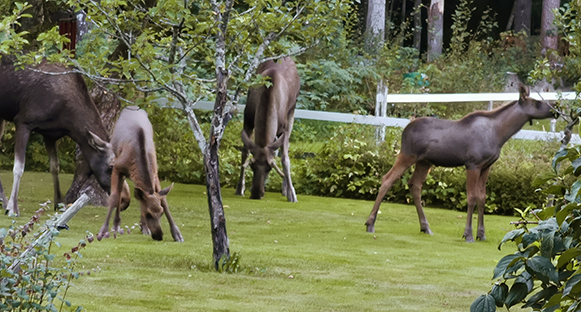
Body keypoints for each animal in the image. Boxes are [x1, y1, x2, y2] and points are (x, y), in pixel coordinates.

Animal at [0, 61, 114, 217]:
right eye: (111, 166)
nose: (125, 198)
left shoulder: (50, 134)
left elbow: (55, 167)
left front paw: (59, 203)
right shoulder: (23, 121)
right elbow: (19, 167)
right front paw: (12, 208)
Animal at [97, 106, 184, 243]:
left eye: (161, 212)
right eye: (148, 214)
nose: (159, 236)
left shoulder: (156, 173)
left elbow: (163, 199)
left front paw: (177, 234)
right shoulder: (117, 168)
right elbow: (114, 197)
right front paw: (103, 231)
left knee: (139, 195)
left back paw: (144, 228)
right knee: (121, 193)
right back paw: (116, 225)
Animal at [234, 57, 300, 202]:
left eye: (269, 168)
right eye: (252, 166)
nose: (256, 193)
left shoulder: (284, 128)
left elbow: (285, 159)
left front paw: (292, 193)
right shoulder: (247, 119)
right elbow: (244, 153)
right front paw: (240, 188)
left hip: (292, 111)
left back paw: (286, 189)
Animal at [364, 84, 556, 241]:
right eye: (537, 103)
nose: (556, 110)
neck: (500, 134)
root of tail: (404, 129)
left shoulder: (487, 166)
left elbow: (482, 198)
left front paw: (481, 234)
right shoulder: (473, 164)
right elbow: (471, 197)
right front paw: (468, 234)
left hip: (425, 162)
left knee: (414, 184)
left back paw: (425, 227)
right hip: (407, 155)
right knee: (387, 179)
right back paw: (370, 224)